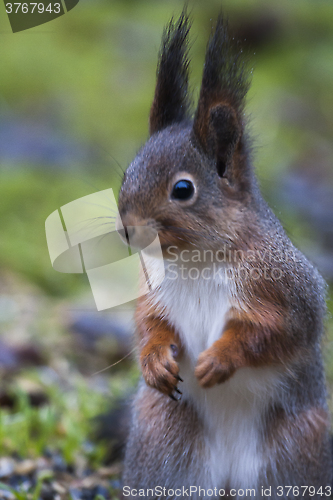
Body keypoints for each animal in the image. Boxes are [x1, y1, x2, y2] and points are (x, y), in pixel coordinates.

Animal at [116, 9, 330, 498]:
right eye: (126, 175)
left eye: (183, 189)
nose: (128, 230)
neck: (197, 258)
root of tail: (231, 480)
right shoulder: (152, 291)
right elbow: (148, 324)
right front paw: (155, 360)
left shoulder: (288, 291)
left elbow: (278, 332)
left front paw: (221, 359)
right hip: (164, 444)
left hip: (297, 452)